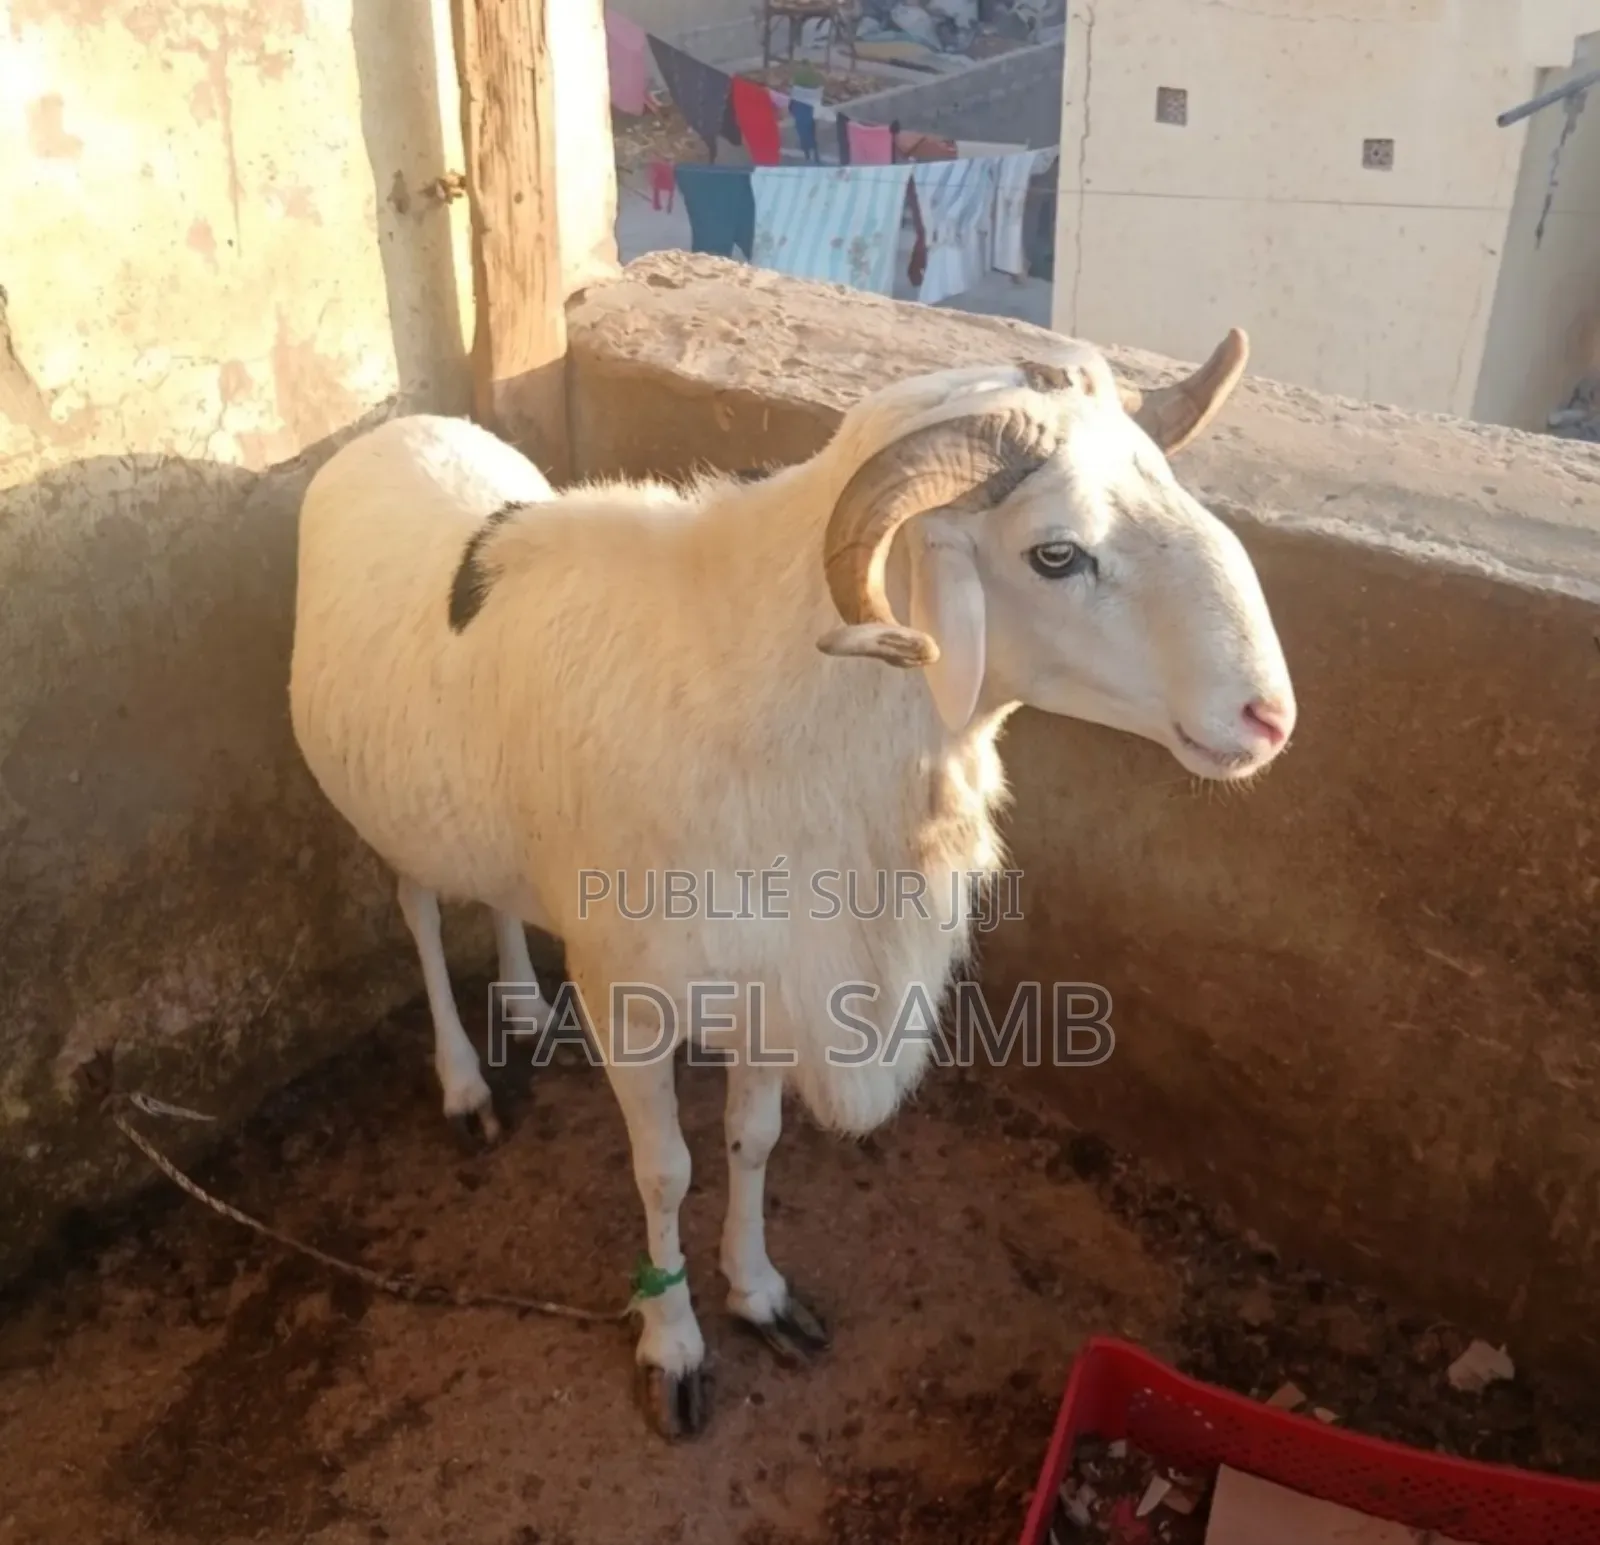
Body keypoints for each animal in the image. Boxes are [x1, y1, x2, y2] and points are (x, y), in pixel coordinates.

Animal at [287, 328, 1295, 1440]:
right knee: (420, 913)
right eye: (1056, 553)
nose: (1268, 716)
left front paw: (760, 1294)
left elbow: (754, 1141)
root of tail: (394, 428)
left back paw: (520, 1007)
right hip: (381, 810)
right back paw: (465, 1086)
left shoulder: (777, 985)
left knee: (498, 896)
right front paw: (673, 1347)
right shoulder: (631, 1002)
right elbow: (664, 1171)